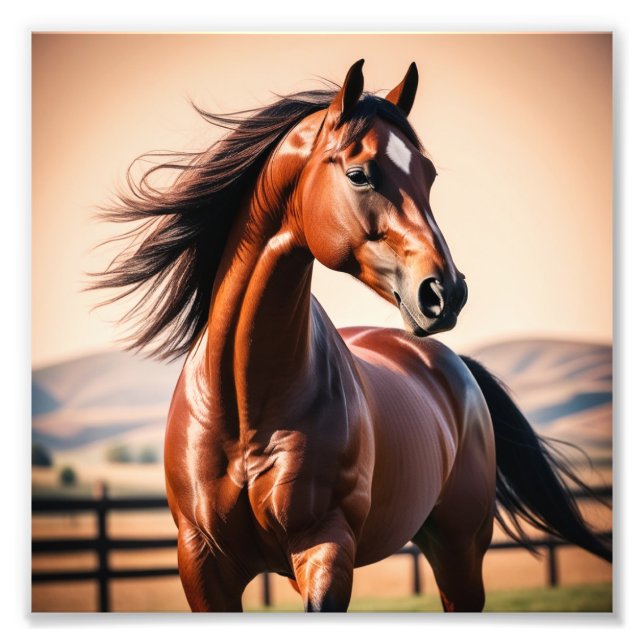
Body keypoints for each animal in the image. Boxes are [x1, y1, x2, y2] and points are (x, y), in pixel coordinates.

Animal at [95, 59, 611, 612]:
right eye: (360, 174)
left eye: (428, 175)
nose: (445, 292)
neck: (245, 408)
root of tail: (453, 367)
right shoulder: (202, 561)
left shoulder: (326, 547)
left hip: (460, 552)